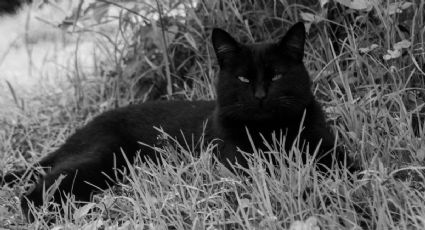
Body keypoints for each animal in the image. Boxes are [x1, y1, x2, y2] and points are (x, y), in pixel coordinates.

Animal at [2, 22, 344, 222]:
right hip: (99, 158)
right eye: (243, 79)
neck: (272, 131)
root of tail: (78, 133)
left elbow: (341, 166)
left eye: (276, 76)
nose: (260, 96)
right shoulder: (238, 164)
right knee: (33, 195)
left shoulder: (327, 147)